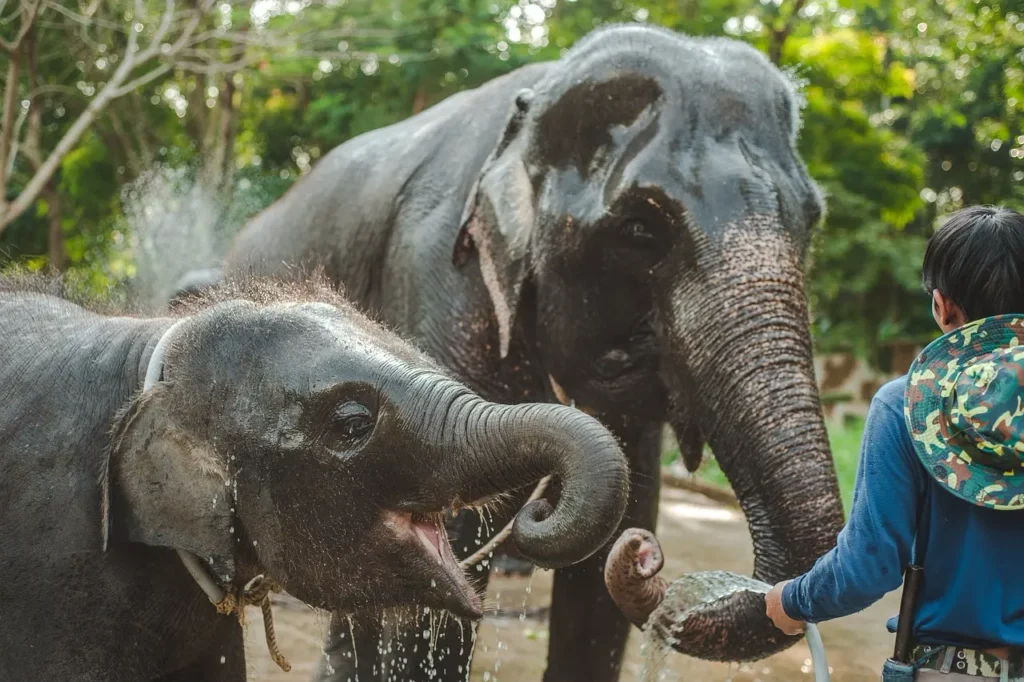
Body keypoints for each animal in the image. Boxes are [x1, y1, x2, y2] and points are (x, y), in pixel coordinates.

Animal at [209, 22, 847, 679]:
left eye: (810, 220)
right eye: (641, 230)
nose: (647, 556)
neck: (536, 102)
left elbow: (608, 561)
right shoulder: (439, 276)